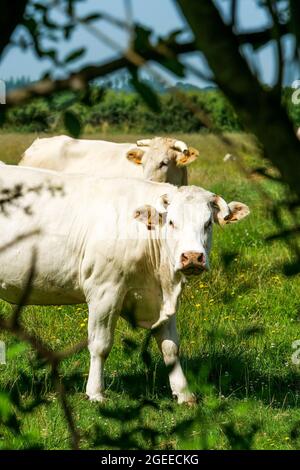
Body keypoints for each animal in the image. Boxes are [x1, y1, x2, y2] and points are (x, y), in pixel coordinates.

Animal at [0, 166, 250, 404]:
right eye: (171, 222)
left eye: (208, 224)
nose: (192, 257)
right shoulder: (104, 291)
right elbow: (100, 345)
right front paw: (95, 392)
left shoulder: (163, 298)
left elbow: (170, 347)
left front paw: (183, 393)